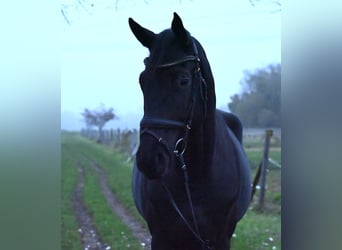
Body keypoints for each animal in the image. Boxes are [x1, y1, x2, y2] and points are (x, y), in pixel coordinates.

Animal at [128, 14, 251, 250]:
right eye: (142, 81)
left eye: (183, 80)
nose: (149, 159)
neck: (196, 175)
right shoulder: (160, 237)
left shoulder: (221, 238)